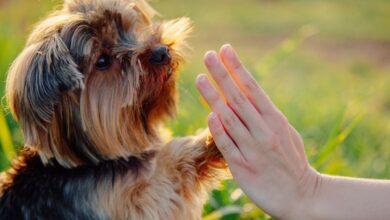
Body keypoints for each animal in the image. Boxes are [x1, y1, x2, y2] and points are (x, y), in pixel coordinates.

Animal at [0, 0, 225, 219]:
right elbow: (168, 172)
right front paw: (215, 136)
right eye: (102, 61)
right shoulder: (133, 202)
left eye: (130, 28)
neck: (90, 160)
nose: (161, 52)